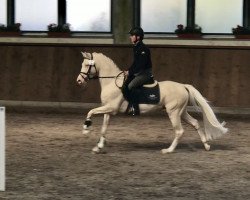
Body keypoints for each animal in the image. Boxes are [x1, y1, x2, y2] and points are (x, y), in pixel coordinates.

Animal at [75, 52, 228, 154]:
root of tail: (183, 86)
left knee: (179, 131)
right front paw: (98, 147)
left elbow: (90, 111)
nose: (79, 81)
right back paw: (206, 146)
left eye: (86, 65)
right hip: (182, 112)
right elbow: (104, 128)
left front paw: (86, 129)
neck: (112, 82)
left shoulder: (111, 108)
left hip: (173, 112)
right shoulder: (108, 109)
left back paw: (168, 150)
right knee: (195, 123)